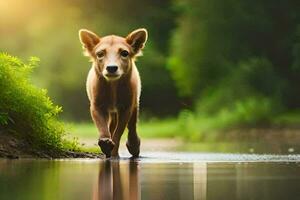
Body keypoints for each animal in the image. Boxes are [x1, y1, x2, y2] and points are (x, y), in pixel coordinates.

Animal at [78, 27, 147, 158]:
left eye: (124, 53)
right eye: (100, 54)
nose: (111, 68)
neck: (113, 87)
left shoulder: (126, 107)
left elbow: (119, 131)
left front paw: (114, 153)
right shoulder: (97, 106)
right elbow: (102, 126)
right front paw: (105, 143)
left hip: (134, 103)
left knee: (132, 125)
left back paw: (134, 146)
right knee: (111, 125)